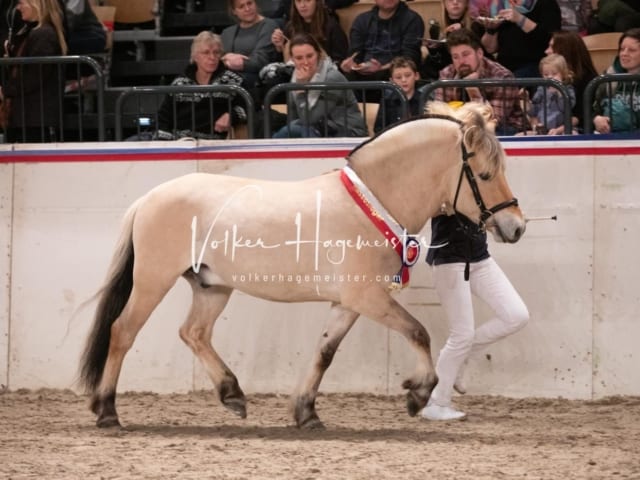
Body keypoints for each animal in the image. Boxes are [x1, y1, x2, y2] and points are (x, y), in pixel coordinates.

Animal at [79, 101, 524, 428]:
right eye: (485, 174)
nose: (515, 227)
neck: (373, 203)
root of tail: (148, 198)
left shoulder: (348, 303)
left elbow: (324, 352)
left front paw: (306, 413)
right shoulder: (368, 297)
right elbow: (418, 332)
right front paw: (418, 394)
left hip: (212, 286)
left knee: (194, 333)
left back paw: (233, 395)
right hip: (153, 280)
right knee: (122, 332)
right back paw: (107, 411)